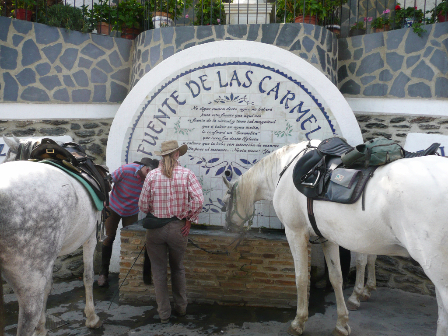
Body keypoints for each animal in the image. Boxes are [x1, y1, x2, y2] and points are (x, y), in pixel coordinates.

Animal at [0, 137, 102, 336]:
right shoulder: (91, 236)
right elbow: (88, 276)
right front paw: (92, 317)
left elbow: (47, 287)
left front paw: (41, 328)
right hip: (29, 281)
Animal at [221, 139, 448, 336]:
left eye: (226, 202)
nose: (228, 228)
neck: (285, 168)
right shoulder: (327, 237)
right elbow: (336, 277)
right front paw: (341, 324)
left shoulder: (295, 232)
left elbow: (301, 278)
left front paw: (298, 322)